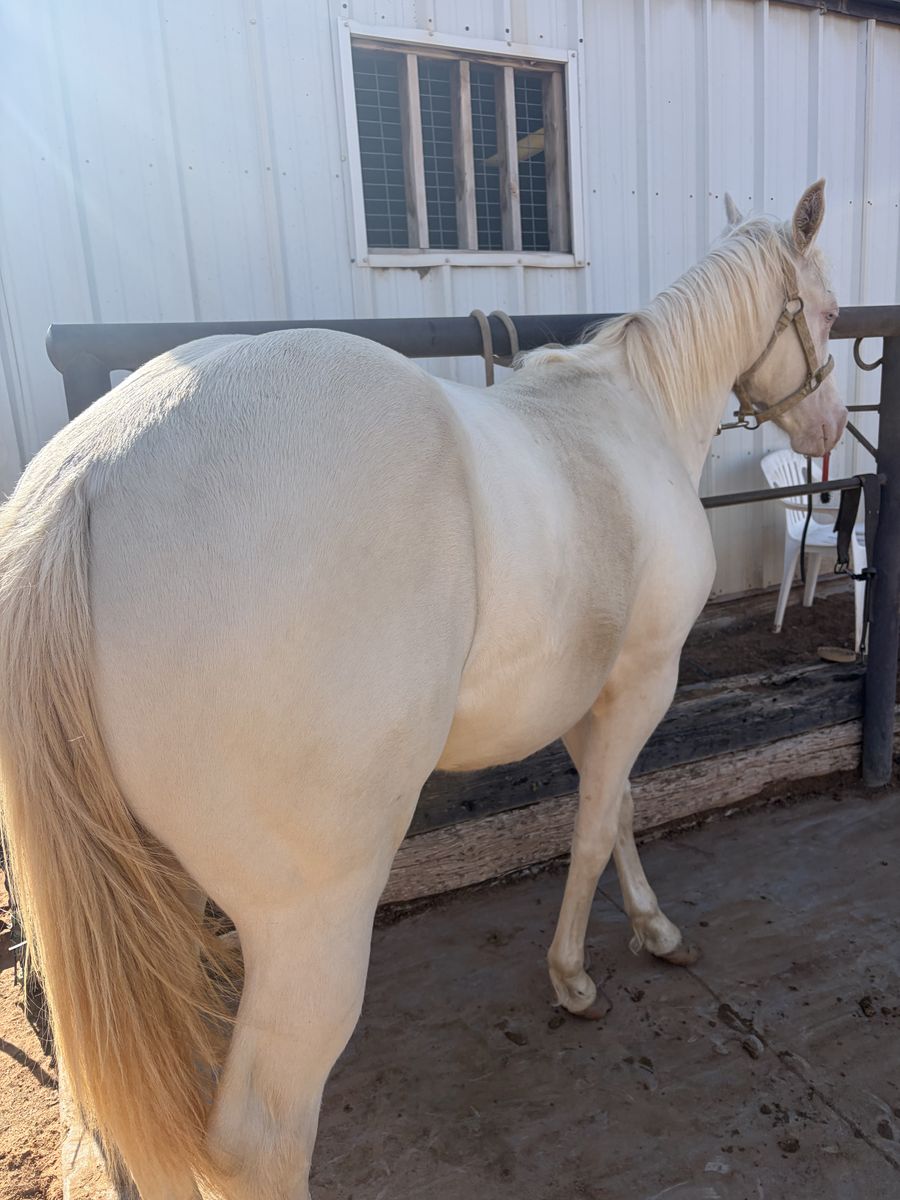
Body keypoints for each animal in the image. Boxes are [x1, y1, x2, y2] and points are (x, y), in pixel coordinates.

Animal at [0, 181, 846, 1199]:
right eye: (828, 312)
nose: (830, 430)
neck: (629, 414)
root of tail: (84, 480)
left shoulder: (595, 698)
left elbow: (621, 812)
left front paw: (653, 927)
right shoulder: (646, 676)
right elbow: (593, 829)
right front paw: (574, 978)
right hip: (310, 925)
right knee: (258, 1143)